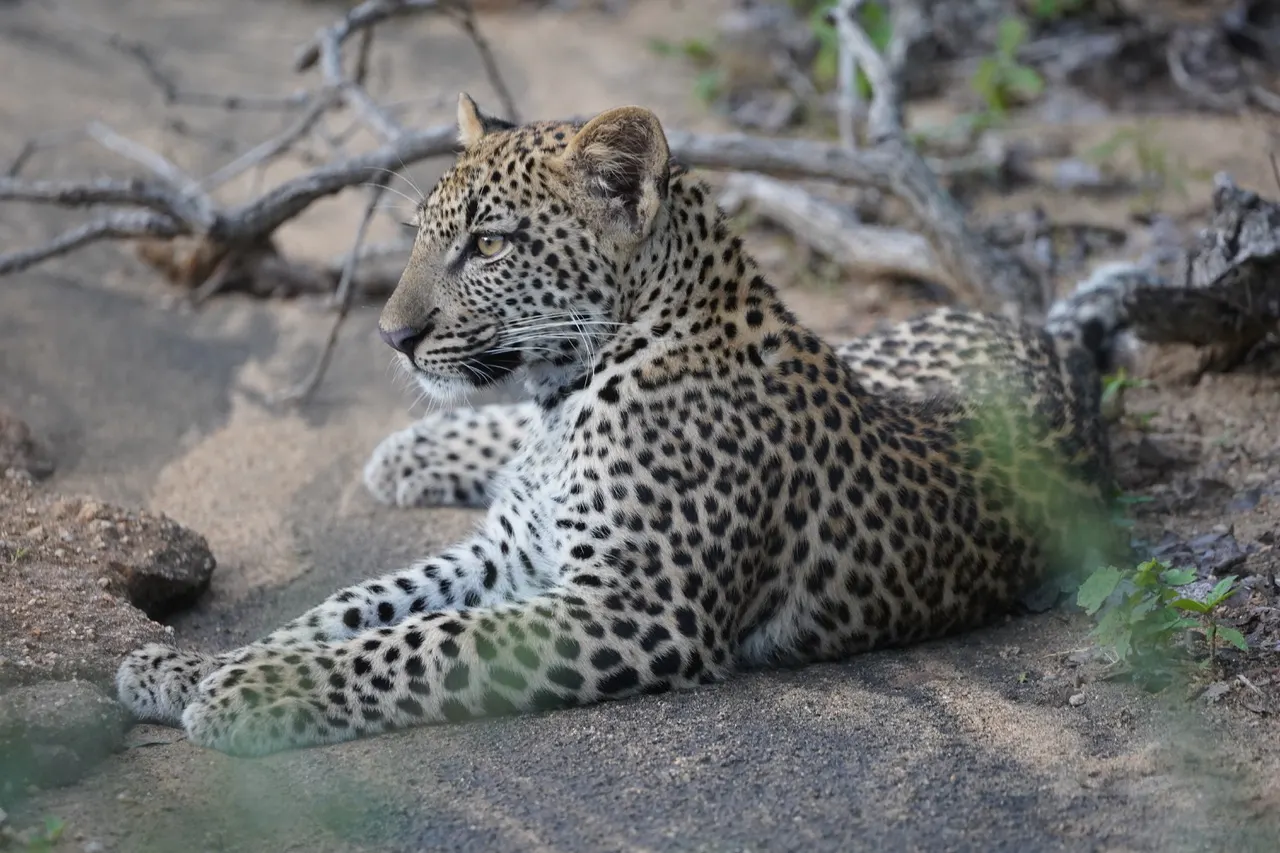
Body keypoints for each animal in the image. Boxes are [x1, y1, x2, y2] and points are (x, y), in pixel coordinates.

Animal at [116, 93, 1135, 757]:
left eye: (489, 243)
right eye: (422, 236)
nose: (391, 336)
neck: (572, 392)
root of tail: (1053, 346)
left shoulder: (634, 606)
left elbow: (423, 641)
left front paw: (249, 691)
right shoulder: (509, 554)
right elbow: (353, 605)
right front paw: (194, 665)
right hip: (880, 349)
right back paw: (414, 450)